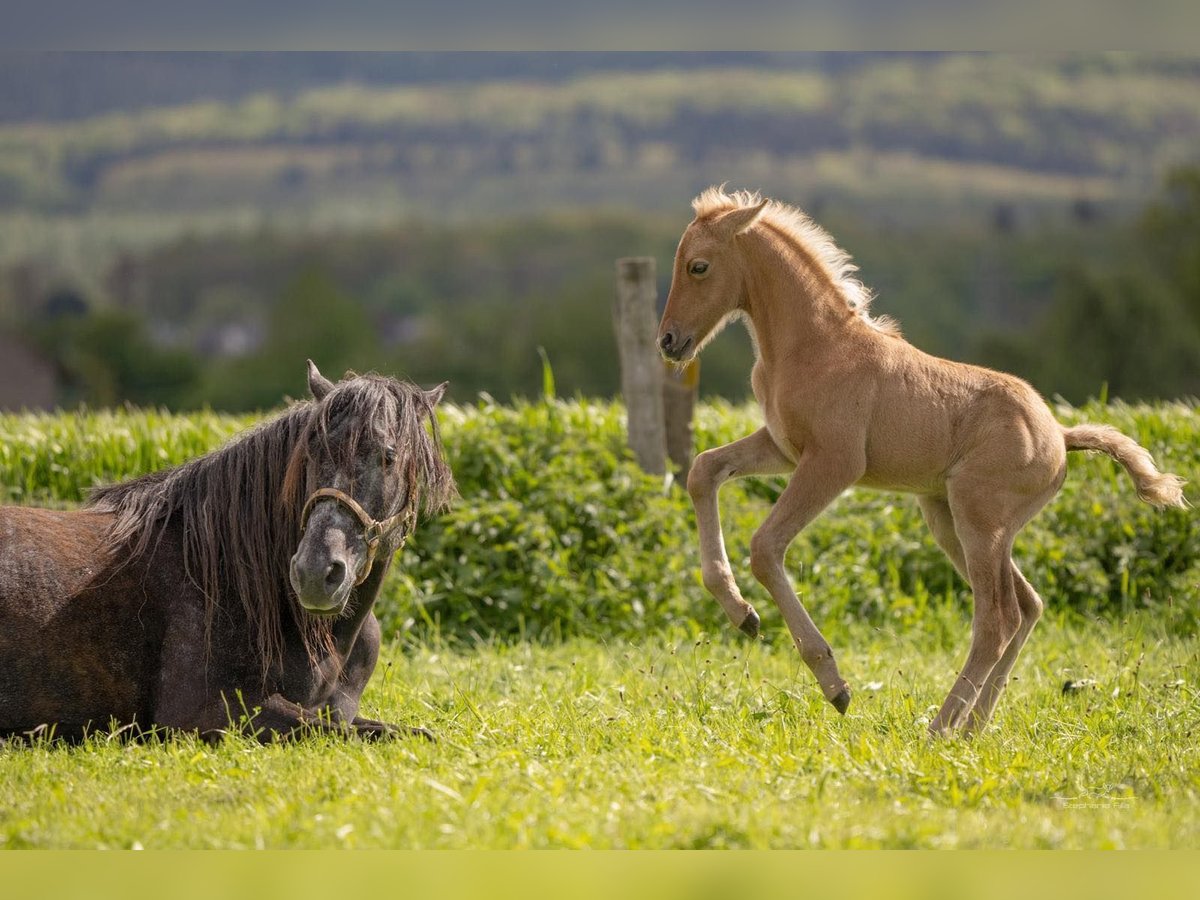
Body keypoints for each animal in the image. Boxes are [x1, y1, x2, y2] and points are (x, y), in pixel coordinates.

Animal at [0, 362, 453, 744]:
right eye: (309, 453)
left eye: (388, 457)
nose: (314, 573)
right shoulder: (206, 713)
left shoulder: (340, 712)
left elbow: (406, 732)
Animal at [657, 187, 1190, 734]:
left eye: (698, 266)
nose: (669, 341)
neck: (812, 345)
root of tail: (1061, 437)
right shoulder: (782, 449)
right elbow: (702, 470)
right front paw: (741, 613)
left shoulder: (833, 463)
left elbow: (765, 547)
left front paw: (833, 685)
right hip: (951, 520)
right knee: (1026, 605)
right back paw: (972, 727)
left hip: (979, 520)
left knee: (997, 617)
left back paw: (940, 728)